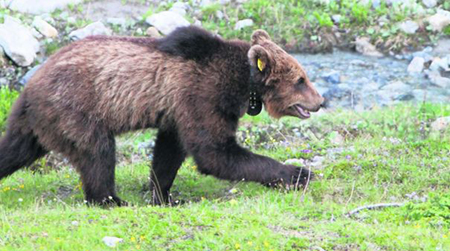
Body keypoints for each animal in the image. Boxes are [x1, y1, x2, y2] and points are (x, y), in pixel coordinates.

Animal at [0, 26, 324, 206]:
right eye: (301, 79)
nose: (320, 101)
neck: (240, 84)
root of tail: (30, 86)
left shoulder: (177, 110)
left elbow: (170, 151)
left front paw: (165, 194)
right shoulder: (202, 94)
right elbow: (215, 152)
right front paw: (298, 173)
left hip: (35, 123)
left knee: (14, 149)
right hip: (76, 108)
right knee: (97, 153)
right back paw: (111, 200)